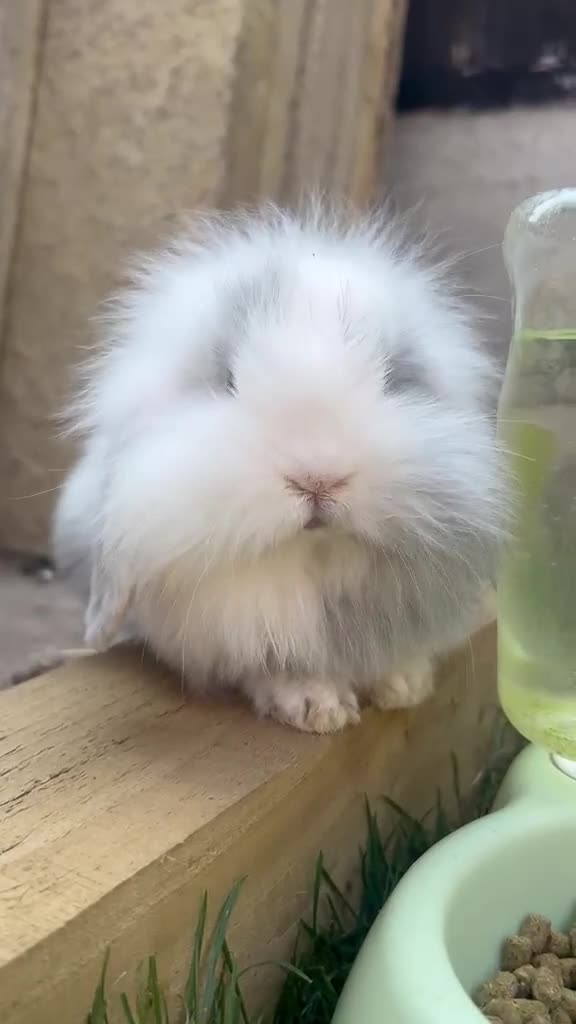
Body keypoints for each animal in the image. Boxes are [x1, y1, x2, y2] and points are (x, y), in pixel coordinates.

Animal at [53, 202, 507, 733]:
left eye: (396, 377)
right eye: (228, 379)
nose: (318, 479)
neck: (308, 564)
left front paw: (404, 686)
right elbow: (270, 665)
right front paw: (318, 708)